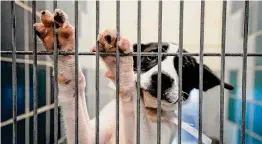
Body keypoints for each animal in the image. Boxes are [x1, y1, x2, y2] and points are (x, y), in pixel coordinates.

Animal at [34, 9, 233, 143]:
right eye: (151, 56)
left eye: (185, 68)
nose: (163, 79)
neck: (146, 109)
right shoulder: (87, 137)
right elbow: (74, 86)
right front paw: (63, 44)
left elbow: (131, 98)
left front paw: (121, 65)